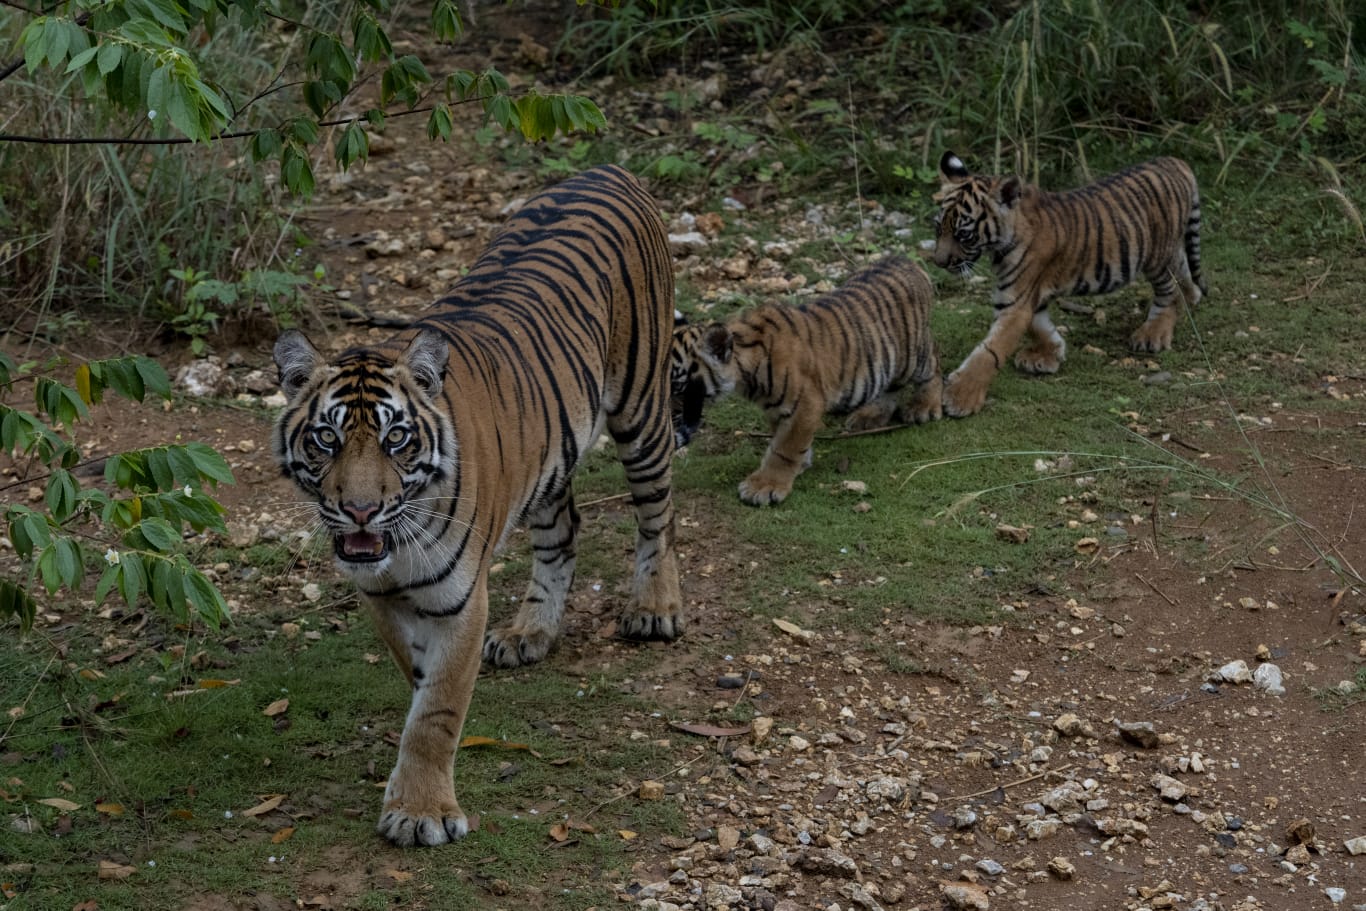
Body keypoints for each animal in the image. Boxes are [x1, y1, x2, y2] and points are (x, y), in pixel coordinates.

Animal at [271, 165, 683, 848]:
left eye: (396, 438)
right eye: (326, 438)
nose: (359, 510)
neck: (395, 549)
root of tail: (608, 169)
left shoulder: (461, 600)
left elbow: (436, 710)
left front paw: (421, 812)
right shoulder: (381, 596)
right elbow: (415, 681)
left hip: (642, 406)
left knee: (657, 515)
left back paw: (654, 609)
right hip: (548, 459)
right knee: (563, 532)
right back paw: (530, 633)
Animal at [669, 254, 941, 505]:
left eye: (679, 388)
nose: (667, 420)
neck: (746, 368)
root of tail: (907, 261)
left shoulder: (804, 403)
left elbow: (785, 447)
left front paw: (766, 485)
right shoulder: (776, 407)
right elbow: (780, 438)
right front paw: (801, 463)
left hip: (911, 356)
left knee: (932, 367)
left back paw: (923, 407)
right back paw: (870, 416)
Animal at [931, 151, 1207, 417]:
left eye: (964, 234)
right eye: (938, 228)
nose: (939, 262)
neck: (1003, 239)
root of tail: (1173, 161)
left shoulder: (1015, 300)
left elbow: (990, 351)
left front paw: (959, 397)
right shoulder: (1025, 294)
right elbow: (1038, 326)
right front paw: (1049, 354)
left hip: (1156, 257)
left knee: (1169, 292)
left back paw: (1154, 334)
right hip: (1169, 252)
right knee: (1183, 270)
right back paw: (1191, 300)